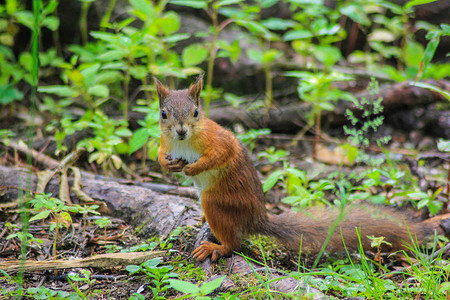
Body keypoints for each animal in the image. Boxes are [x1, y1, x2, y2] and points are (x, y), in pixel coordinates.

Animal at [156, 75, 444, 262]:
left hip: (218, 202)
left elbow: (221, 154)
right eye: (163, 114)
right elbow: (160, 154)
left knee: (234, 244)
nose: (181, 131)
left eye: (195, 112)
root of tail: (257, 219)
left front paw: (194, 169)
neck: (183, 142)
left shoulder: (217, 139)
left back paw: (217, 247)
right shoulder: (165, 142)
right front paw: (167, 164)